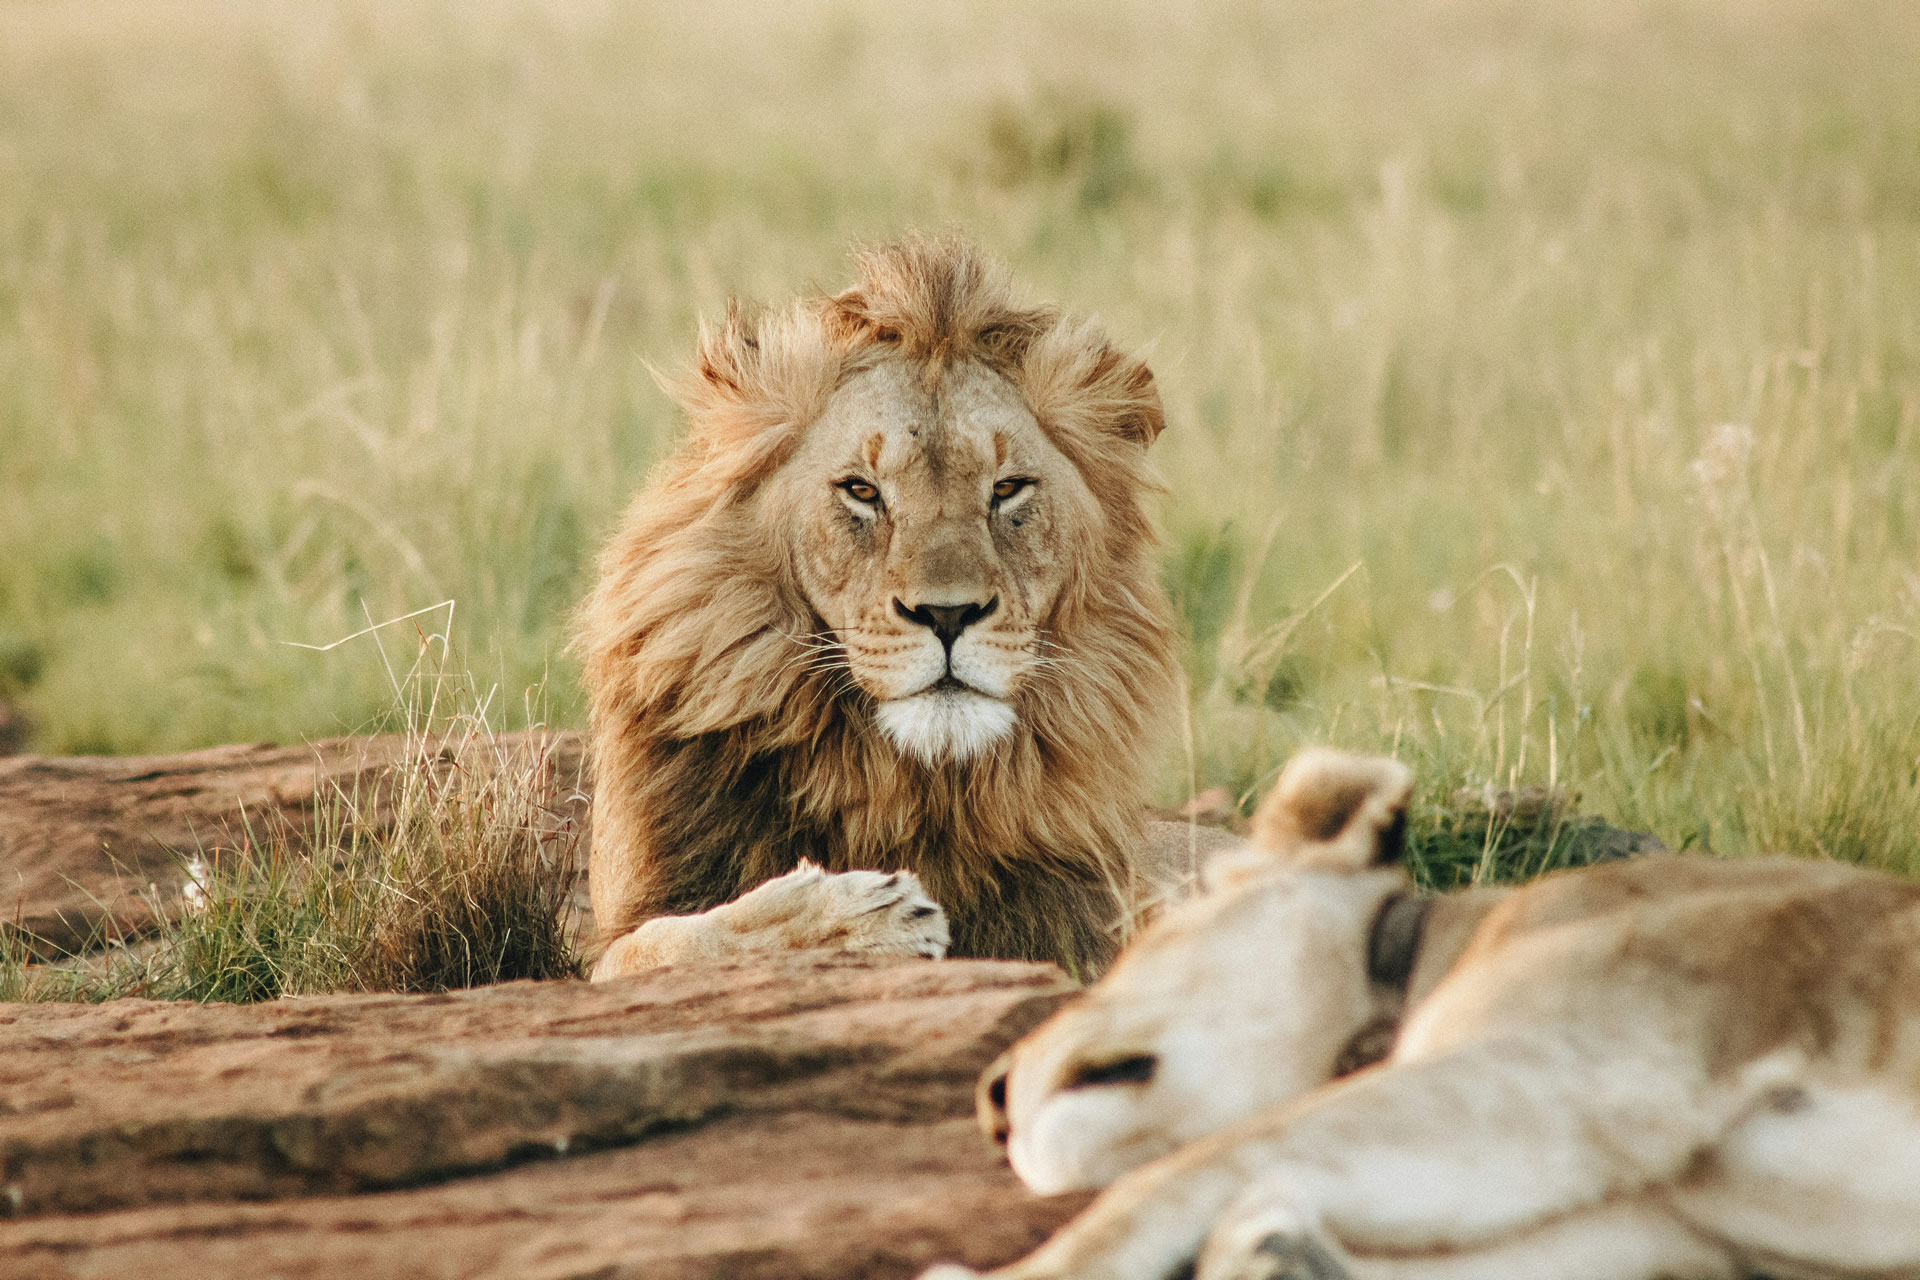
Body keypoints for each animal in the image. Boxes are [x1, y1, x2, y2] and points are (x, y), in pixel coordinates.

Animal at [576, 235, 1228, 974]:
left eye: (1008, 489)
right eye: (862, 491)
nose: (947, 615)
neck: (904, 786)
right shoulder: (622, 931)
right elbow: (672, 941)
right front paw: (854, 918)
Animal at [940, 752, 1920, 1280]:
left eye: (1137, 945)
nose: (989, 1096)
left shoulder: (1584, 1062)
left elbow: (1177, 1174)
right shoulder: (1662, 1233)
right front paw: (1278, 1252)